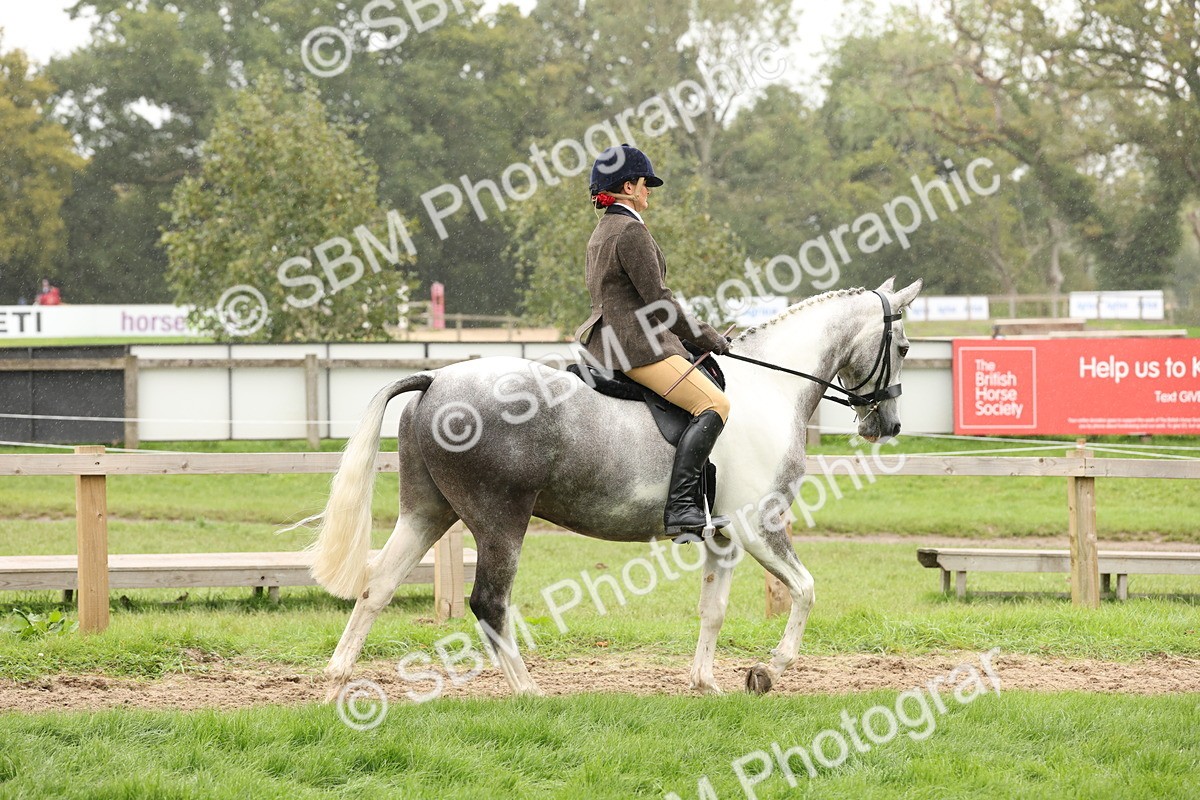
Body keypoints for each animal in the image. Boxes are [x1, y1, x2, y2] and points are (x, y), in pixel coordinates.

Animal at [308, 277, 922, 699]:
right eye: (905, 348)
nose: (887, 425)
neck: (770, 390)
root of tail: (435, 379)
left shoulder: (724, 537)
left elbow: (713, 610)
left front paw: (706, 684)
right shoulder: (758, 526)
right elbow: (806, 589)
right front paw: (768, 669)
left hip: (427, 512)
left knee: (377, 585)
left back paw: (337, 679)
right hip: (500, 519)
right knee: (489, 602)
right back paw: (527, 691)